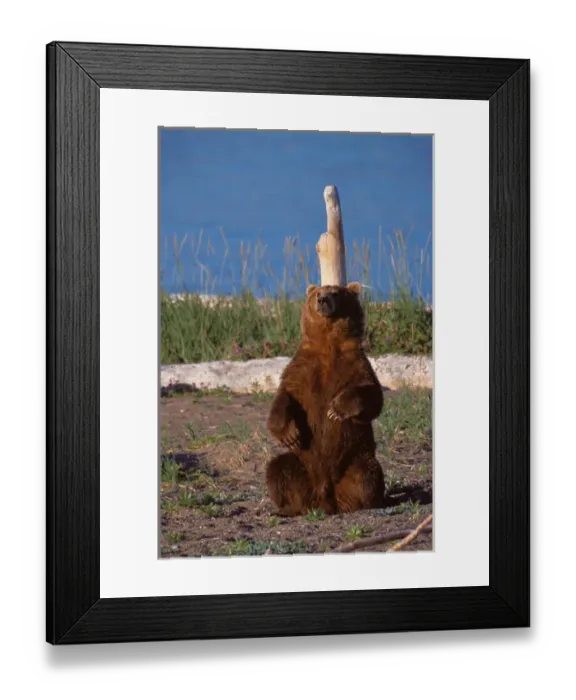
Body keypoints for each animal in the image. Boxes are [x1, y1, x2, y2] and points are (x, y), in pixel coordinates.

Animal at [265, 282, 386, 516]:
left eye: (336, 293)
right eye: (318, 293)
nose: (322, 300)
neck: (329, 344)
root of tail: (325, 495)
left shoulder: (355, 363)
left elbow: (372, 395)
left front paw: (335, 409)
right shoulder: (302, 368)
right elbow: (285, 395)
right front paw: (289, 435)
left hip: (355, 458)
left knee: (368, 475)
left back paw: (361, 506)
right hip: (302, 463)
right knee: (279, 469)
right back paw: (290, 508)